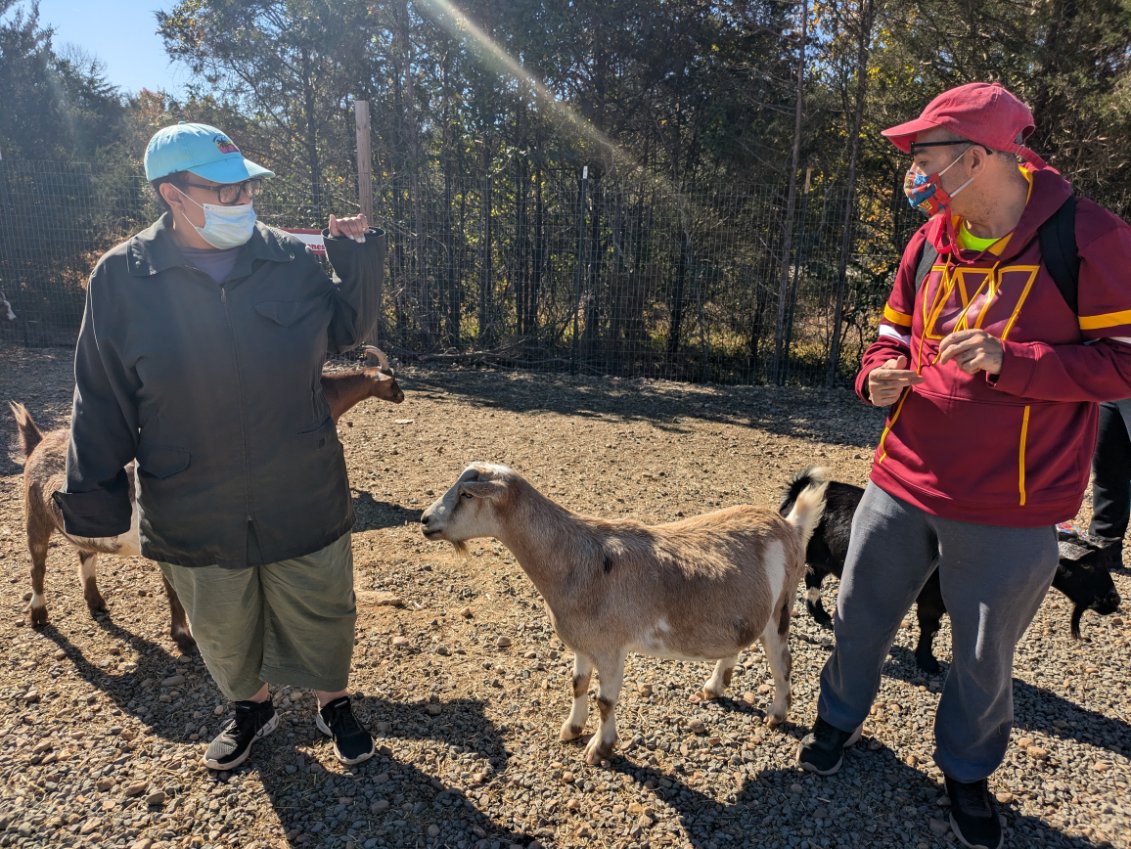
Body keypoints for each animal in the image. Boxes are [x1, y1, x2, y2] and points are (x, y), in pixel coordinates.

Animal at [420, 461, 827, 768]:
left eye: (467, 495)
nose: (424, 520)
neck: (576, 560)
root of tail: (791, 525)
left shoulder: (611, 648)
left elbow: (606, 701)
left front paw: (600, 748)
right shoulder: (584, 643)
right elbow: (577, 684)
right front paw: (571, 729)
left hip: (781, 607)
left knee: (781, 661)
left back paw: (777, 713)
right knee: (739, 643)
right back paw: (714, 688)